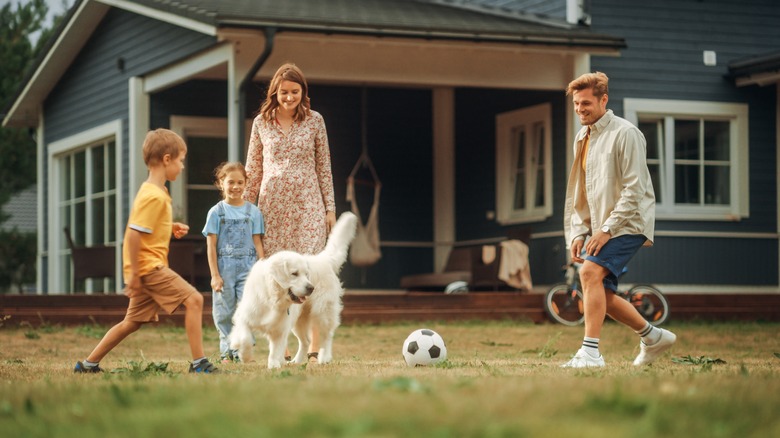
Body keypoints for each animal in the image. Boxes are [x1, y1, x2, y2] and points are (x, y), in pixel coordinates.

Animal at [227, 210, 358, 368]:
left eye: (306, 274)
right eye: (295, 273)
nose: (311, 288)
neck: (272, 299)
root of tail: (324, 259)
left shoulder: (280, 328)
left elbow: (275, 350)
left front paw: (273, 365)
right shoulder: (244, 317)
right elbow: (245, 338)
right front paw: (245, 356)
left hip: (322, 312)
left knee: (327, 336)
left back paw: (324, 357)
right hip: (299, 321)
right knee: (306, 341)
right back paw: (297, 361)